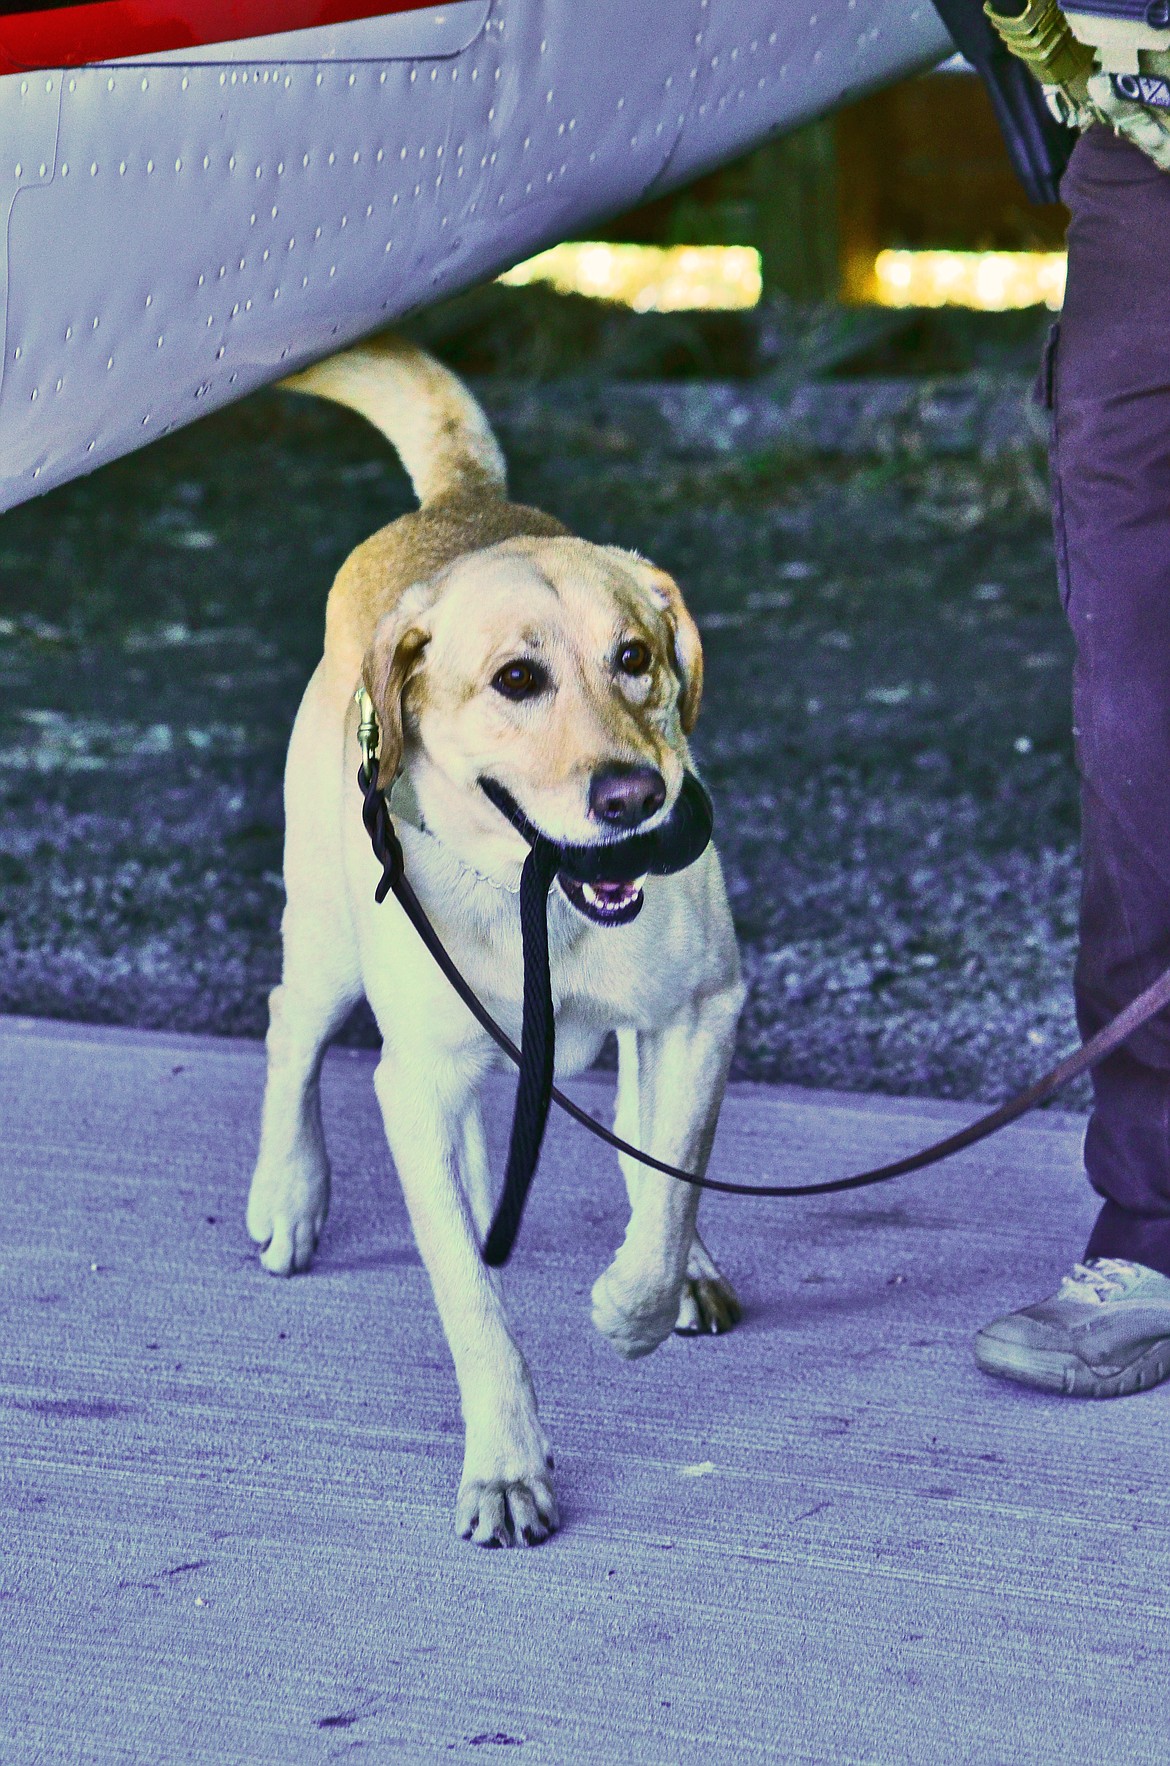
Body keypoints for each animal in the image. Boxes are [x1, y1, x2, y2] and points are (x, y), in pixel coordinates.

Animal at [248, 337, 744, 1539]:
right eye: (518, 679)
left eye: (636, 657)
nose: (633, 797)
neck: (541, 902)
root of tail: (458, 504)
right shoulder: (415, 1081)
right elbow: (473, 1305)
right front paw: (508, 1466)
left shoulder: (704, 1008)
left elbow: (671, 1189)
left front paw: (639, 1298)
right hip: (327, 939)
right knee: (292, 1028)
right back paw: (288, 1194)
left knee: (644, 1136)